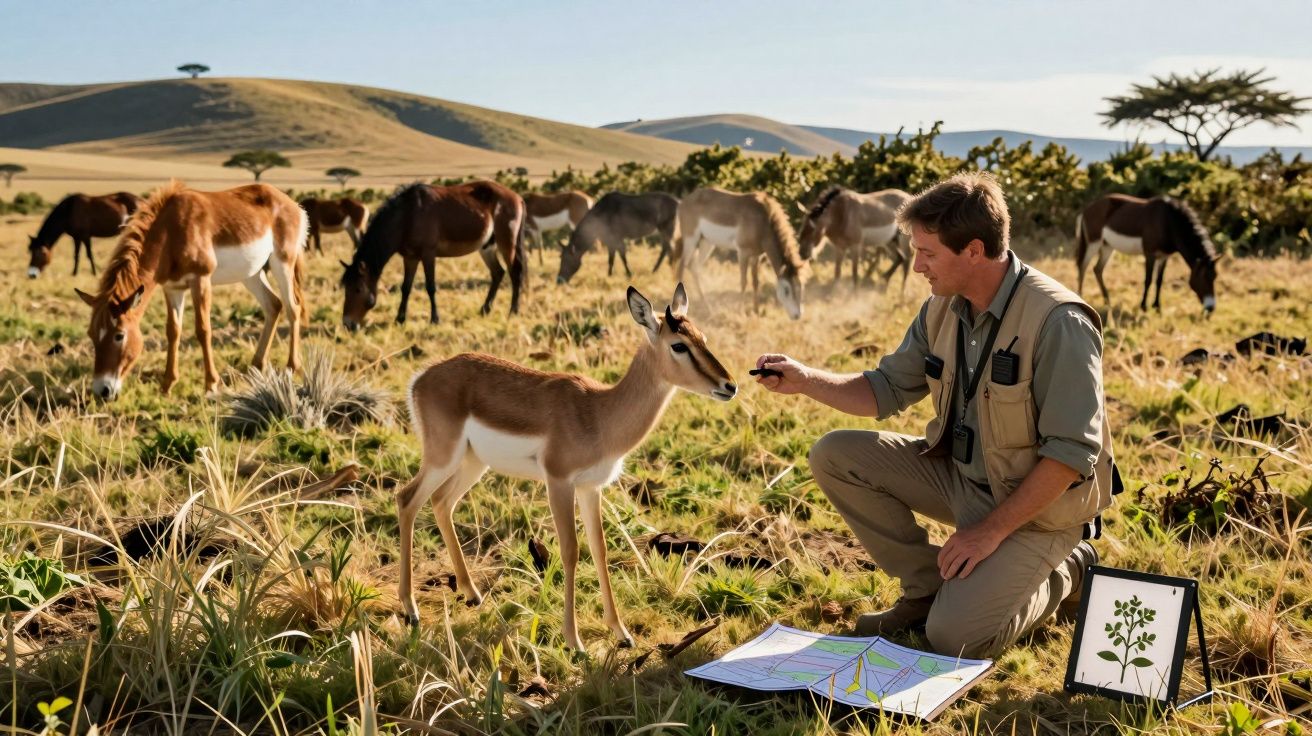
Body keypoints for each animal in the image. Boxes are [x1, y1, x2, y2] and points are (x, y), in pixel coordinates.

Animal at [397, 283, 736, 649]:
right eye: (678, 345)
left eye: (702, 337)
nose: (729, 385)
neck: (600, 414)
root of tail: (420, 377)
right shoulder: (559, 481)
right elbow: (571, 550)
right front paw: (574, 641)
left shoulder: (590, 487)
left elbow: (600, 549)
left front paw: (622, 633)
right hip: (442, 457)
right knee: (407, 499)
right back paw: (411, 610)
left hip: (473, 463)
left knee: (440, 502)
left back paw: (472, 593)